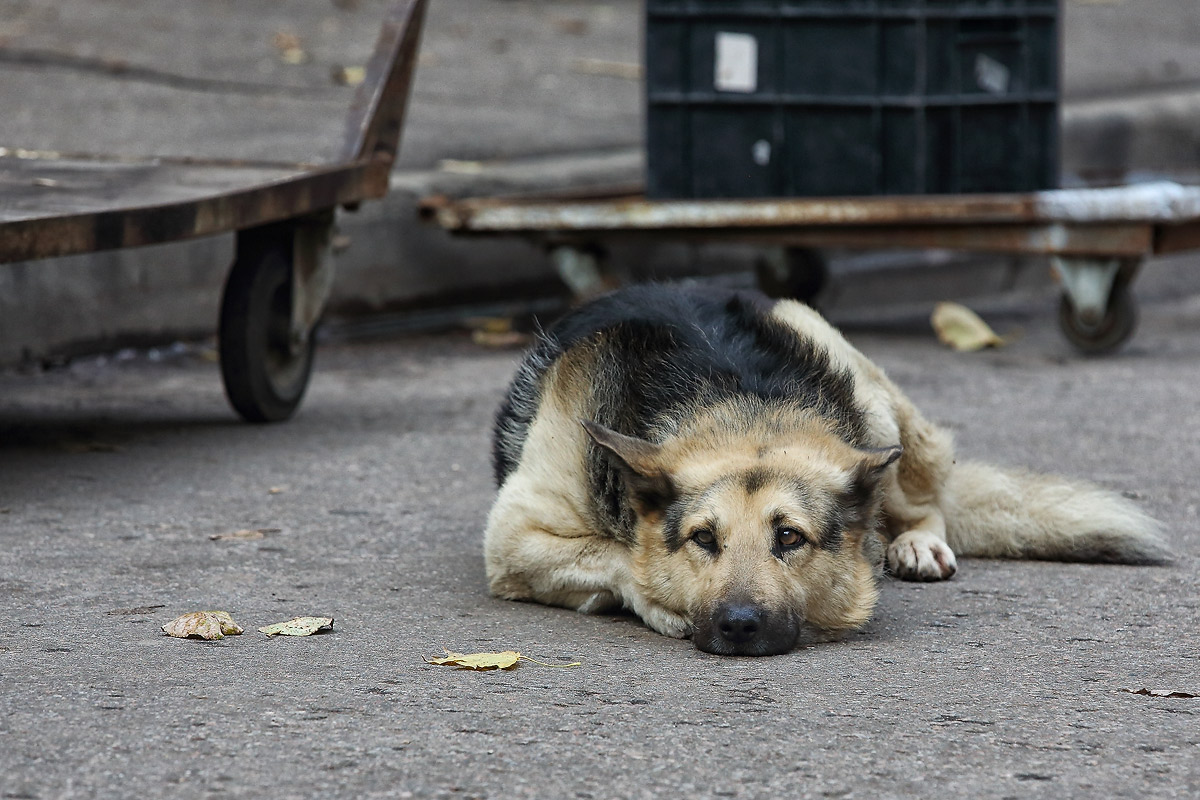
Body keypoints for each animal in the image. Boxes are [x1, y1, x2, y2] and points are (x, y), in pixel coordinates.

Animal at [480, 284, 1171, 652]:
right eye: (703, 539)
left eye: (790, 537)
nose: (738, 625)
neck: (736, 407)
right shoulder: (512, 537)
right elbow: (623, 554)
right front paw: (659, 599)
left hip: (866, 398)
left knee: (924, 500)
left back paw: (914, 543)